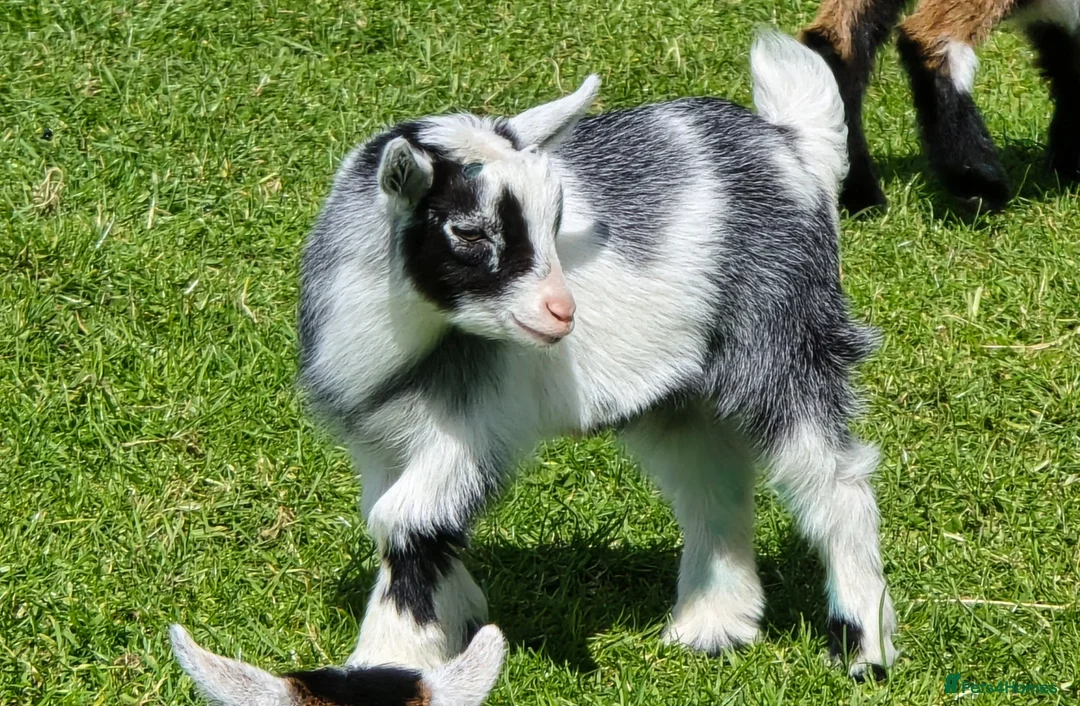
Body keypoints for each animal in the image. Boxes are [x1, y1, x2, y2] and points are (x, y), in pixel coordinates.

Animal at [297, 28, 896, 682]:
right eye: (471, 232)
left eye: (556, 219)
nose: (563, 311)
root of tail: (792, 146)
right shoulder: (379, 439)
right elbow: (403, 522)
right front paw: (454, 622)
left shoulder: (472, 429)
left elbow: (404, 521)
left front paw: (388, 661)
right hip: (679, 395)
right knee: (713, 484)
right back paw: (711, 628)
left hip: (784, 342)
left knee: (835, 480)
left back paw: (864, 648)